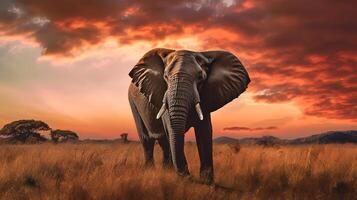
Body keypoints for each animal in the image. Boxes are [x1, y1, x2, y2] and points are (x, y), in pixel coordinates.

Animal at [127, 47, 248, 184]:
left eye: (201, 77)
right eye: (165, 77)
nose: (188, 175)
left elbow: (204, 132)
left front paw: (207, 182)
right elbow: (171, 130)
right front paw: (185, 177)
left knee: (163, 141)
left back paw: (166, 171)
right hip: (133, 102)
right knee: (147, 139)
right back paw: (151, 170)